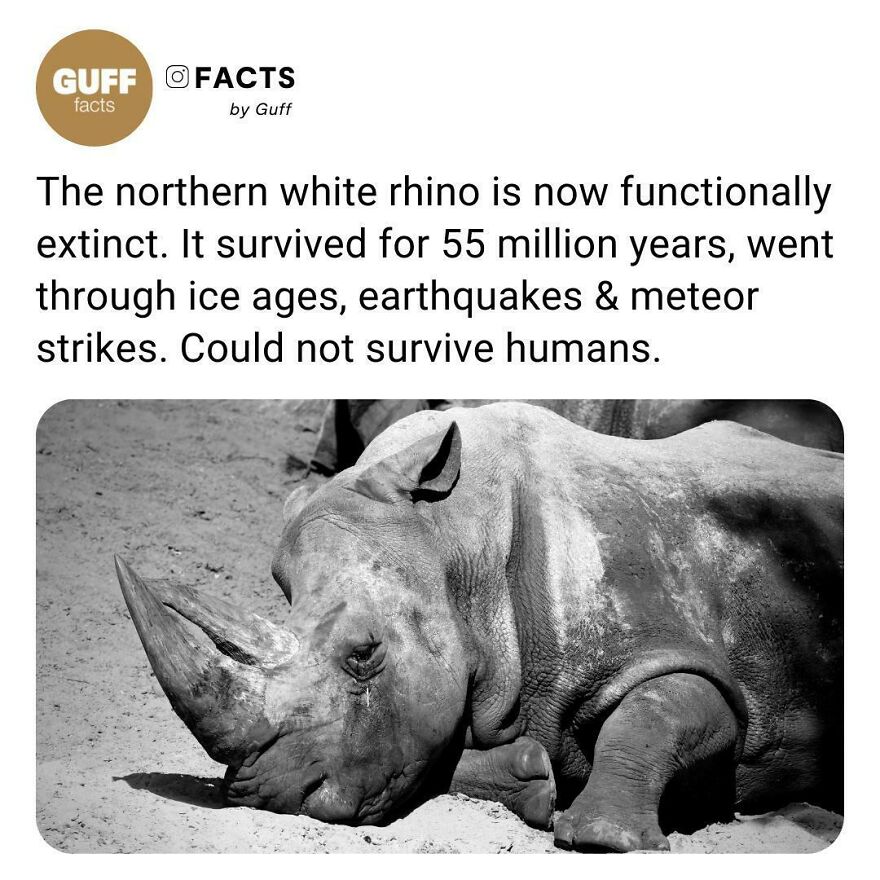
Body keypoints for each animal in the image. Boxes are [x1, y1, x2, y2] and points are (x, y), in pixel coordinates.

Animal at [117, 402, 842, 852]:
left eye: (364, 653)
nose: (264, 793)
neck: (462, 545)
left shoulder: (703, 655)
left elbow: (664, 706)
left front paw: (601, 839)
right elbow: (432, 752)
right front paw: (533, 777)